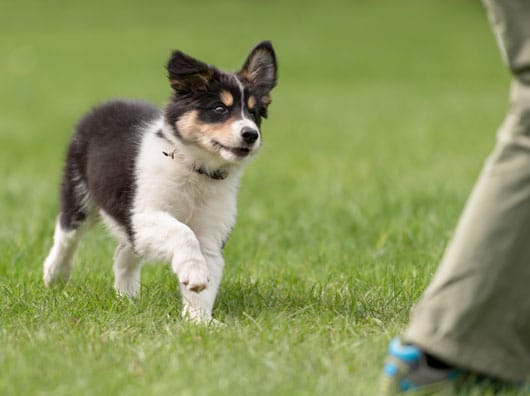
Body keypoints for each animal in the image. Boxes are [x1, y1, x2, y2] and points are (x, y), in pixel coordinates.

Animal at [42, 40, 276, 324]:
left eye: (254, 113)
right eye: (219, 109)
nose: (251, 134)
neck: (197, 170)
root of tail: (108, 104)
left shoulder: (210, 233)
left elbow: (205, 280)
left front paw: (200, 321)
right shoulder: (143, 214)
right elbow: (182, 232)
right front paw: (194, 275)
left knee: (124, 252)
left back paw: (126, 297)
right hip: (79, 192)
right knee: (66, 235)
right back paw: (55, 275)